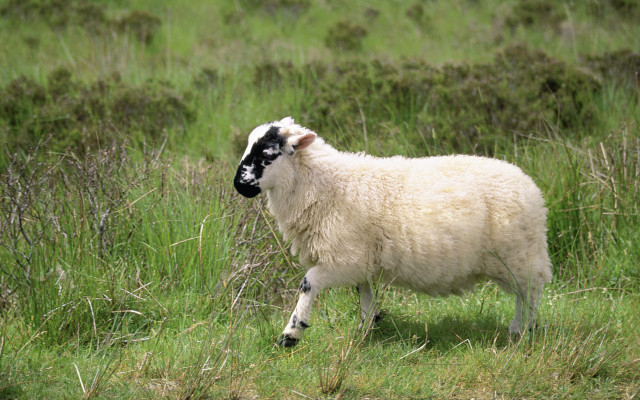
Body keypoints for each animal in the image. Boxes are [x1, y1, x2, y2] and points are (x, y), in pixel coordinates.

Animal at [233, 117, 552, 347]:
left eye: (267, 154)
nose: (238, 185)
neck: (325, 184)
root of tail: (531, 187)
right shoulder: (359, 262)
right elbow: (364, 295)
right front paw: (364, 331)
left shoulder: (344, 259)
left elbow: (308, 283)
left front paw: (290, 334)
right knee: (526, 293)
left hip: (519, 255)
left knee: (531, 293)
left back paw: (522, 329)